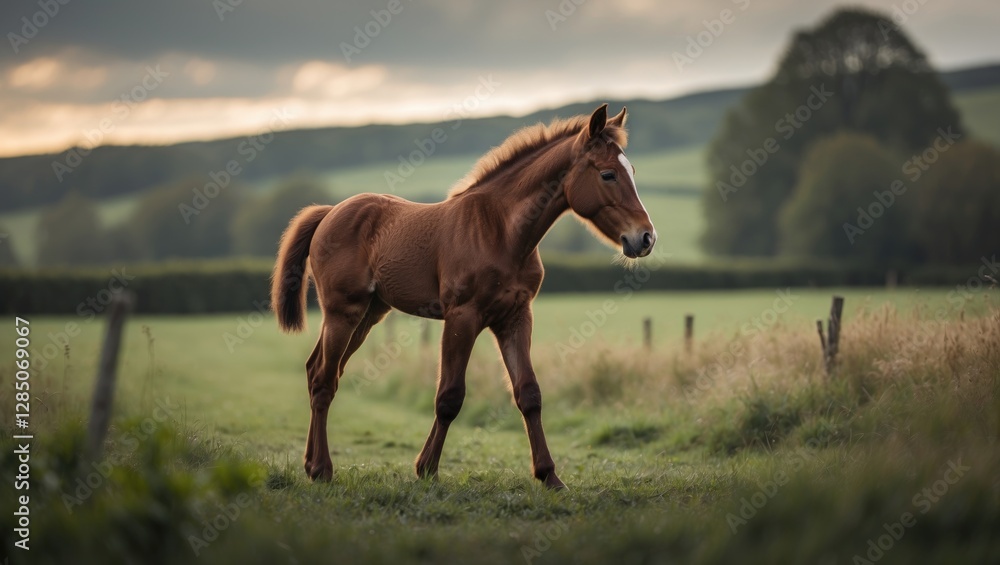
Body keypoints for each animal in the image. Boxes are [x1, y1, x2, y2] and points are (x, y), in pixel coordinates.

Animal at [271, 103, 656, 489]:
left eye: (633, 172)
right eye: (608, 174)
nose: (645, 238)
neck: (500, 231)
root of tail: (328, 212)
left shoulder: (515, 317)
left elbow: (529, 393)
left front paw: (549, 476)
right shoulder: (462, 316)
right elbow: (449, 396)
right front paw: (426, 468)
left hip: (369, 314)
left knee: (318, 371)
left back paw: (311, 464)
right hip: (343, 312)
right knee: (324, 380)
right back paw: (322, 470)